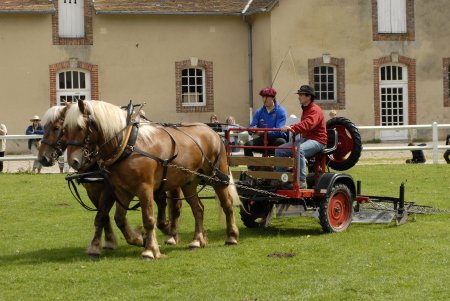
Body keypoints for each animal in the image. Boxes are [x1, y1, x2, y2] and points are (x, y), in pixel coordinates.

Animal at [39, 102, 183, 255]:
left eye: (57, 128)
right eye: (44, 127)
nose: (42, 158)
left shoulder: (110, 189)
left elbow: (103, 215)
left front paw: (137, 238)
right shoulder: (93, 191)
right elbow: (103, 216)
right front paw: (108, 241)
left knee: (175, 206)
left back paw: (171, 235)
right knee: (162, 202)